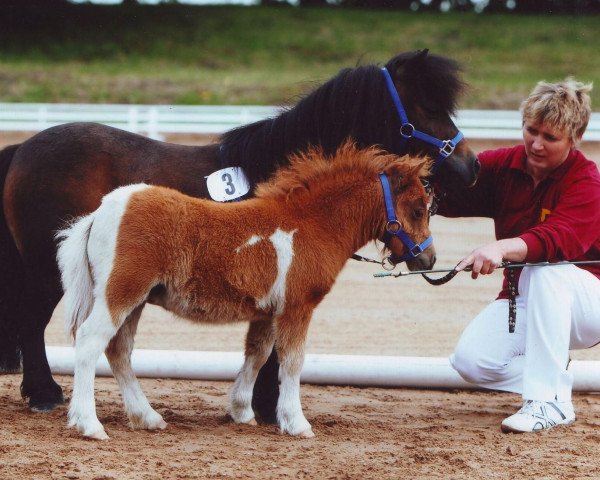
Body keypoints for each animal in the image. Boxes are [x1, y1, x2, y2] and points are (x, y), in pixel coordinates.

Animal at [56, 142, 434, 438]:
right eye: (418, 209)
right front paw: (297, 423)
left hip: (135, 301)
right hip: (121, 293)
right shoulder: (297, 306)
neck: (312, 224)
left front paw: (242, 412)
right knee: (90, 341)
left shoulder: (267, 311)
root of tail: (101, 212)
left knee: (118, 350)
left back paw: (147, 418)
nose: (428, 259)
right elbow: (292, 361)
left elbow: (258, 354)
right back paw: (89, 425)